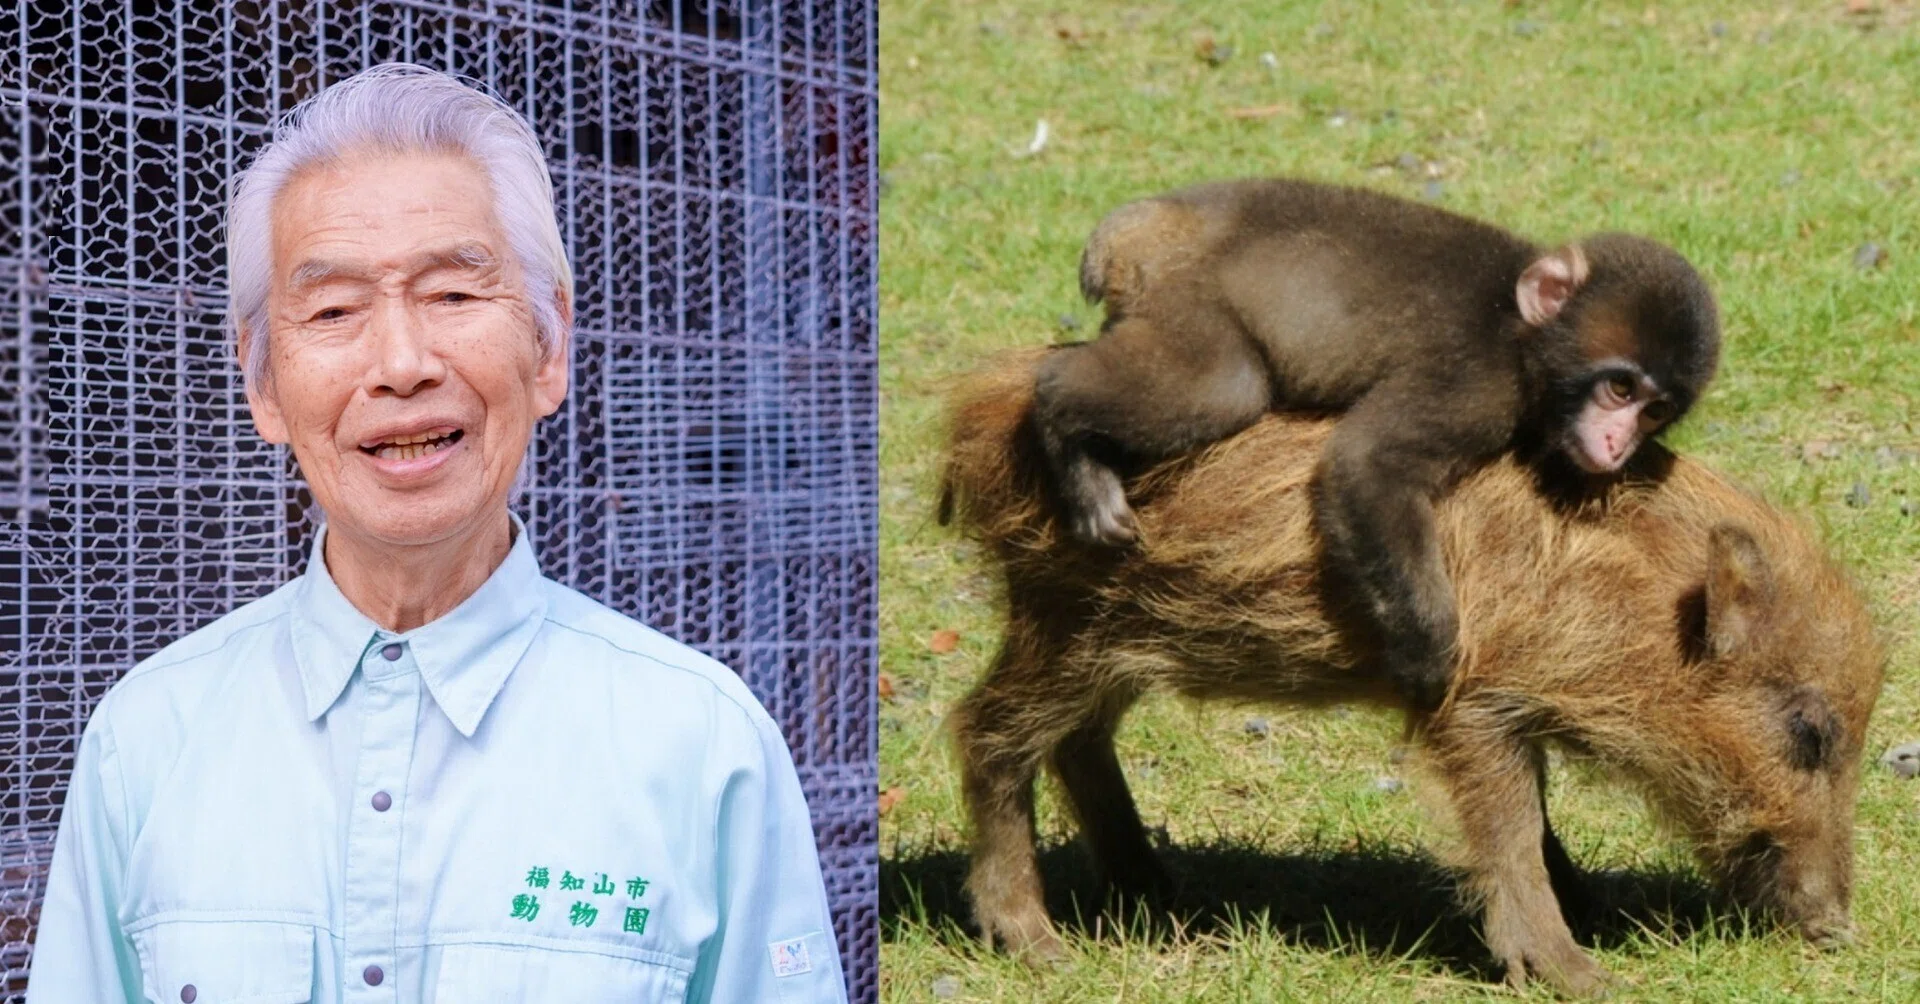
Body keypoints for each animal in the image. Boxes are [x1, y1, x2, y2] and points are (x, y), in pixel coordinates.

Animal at [1032, 178, 1720, 709]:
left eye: (1654, 411)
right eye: (1620, 388)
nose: (1617, 444)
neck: (1521, 331)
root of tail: (1145, 223)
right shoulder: (1476, 381)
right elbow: (1368, 463)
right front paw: (1430, 649)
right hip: (1182, 295)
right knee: (1222, 387)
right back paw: (1063, 428)